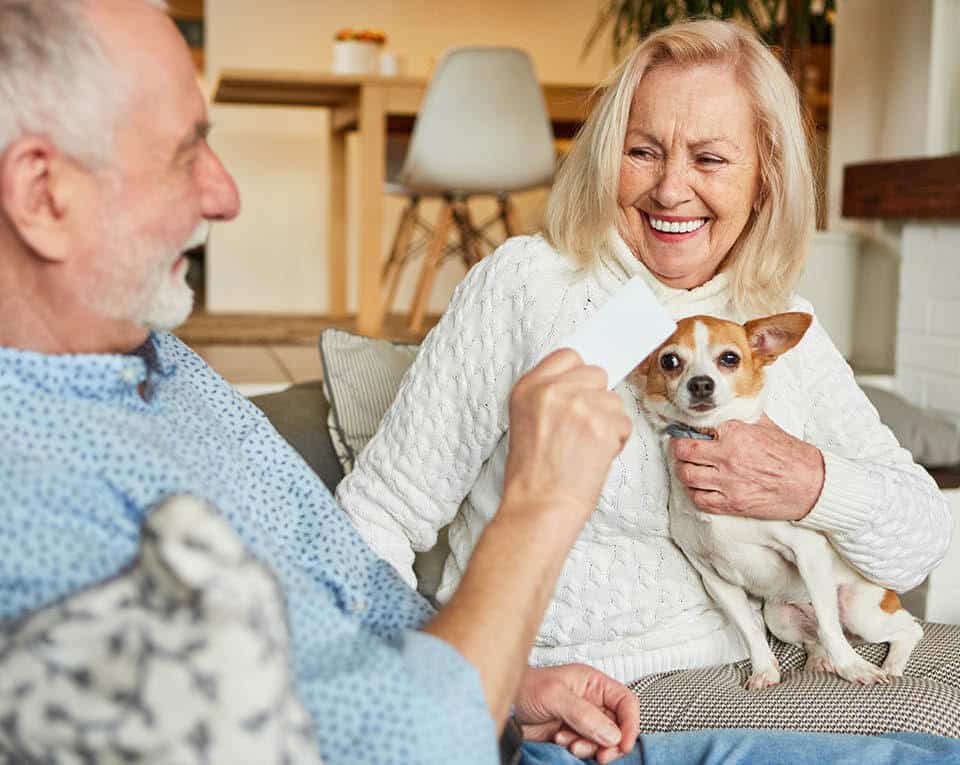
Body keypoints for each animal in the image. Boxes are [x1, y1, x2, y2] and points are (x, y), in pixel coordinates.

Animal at [632, 310, 924, 688]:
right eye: (669, 361)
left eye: (729, 358)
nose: (700, 384)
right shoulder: (716, 579)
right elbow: (749, 630)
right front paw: (764, 669)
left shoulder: (807, 552)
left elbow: (830, 626)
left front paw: (852, 667)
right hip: (779, 617)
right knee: (814, 636)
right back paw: (819, 660)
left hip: (863, 611)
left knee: (902, 629)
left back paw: (889, 665)